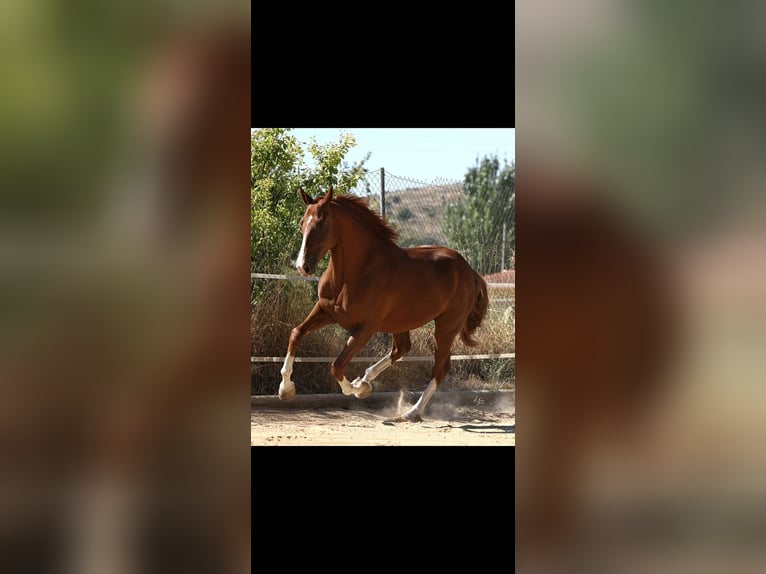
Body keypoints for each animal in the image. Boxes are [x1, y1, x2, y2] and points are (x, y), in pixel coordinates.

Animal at [278, 186, 489, 421]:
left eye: (321, 223)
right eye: (301, 223)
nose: (302, 267)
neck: (355, 273)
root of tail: (471, 272)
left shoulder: (365, 328)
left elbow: (337, 366)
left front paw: (359, 390)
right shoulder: (325, 311)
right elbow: (296, 333)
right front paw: (285, 390)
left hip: (446, 327)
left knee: (439, 368)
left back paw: (411, 412)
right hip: (402, 323)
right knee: (402, 349)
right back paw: (367, 379)